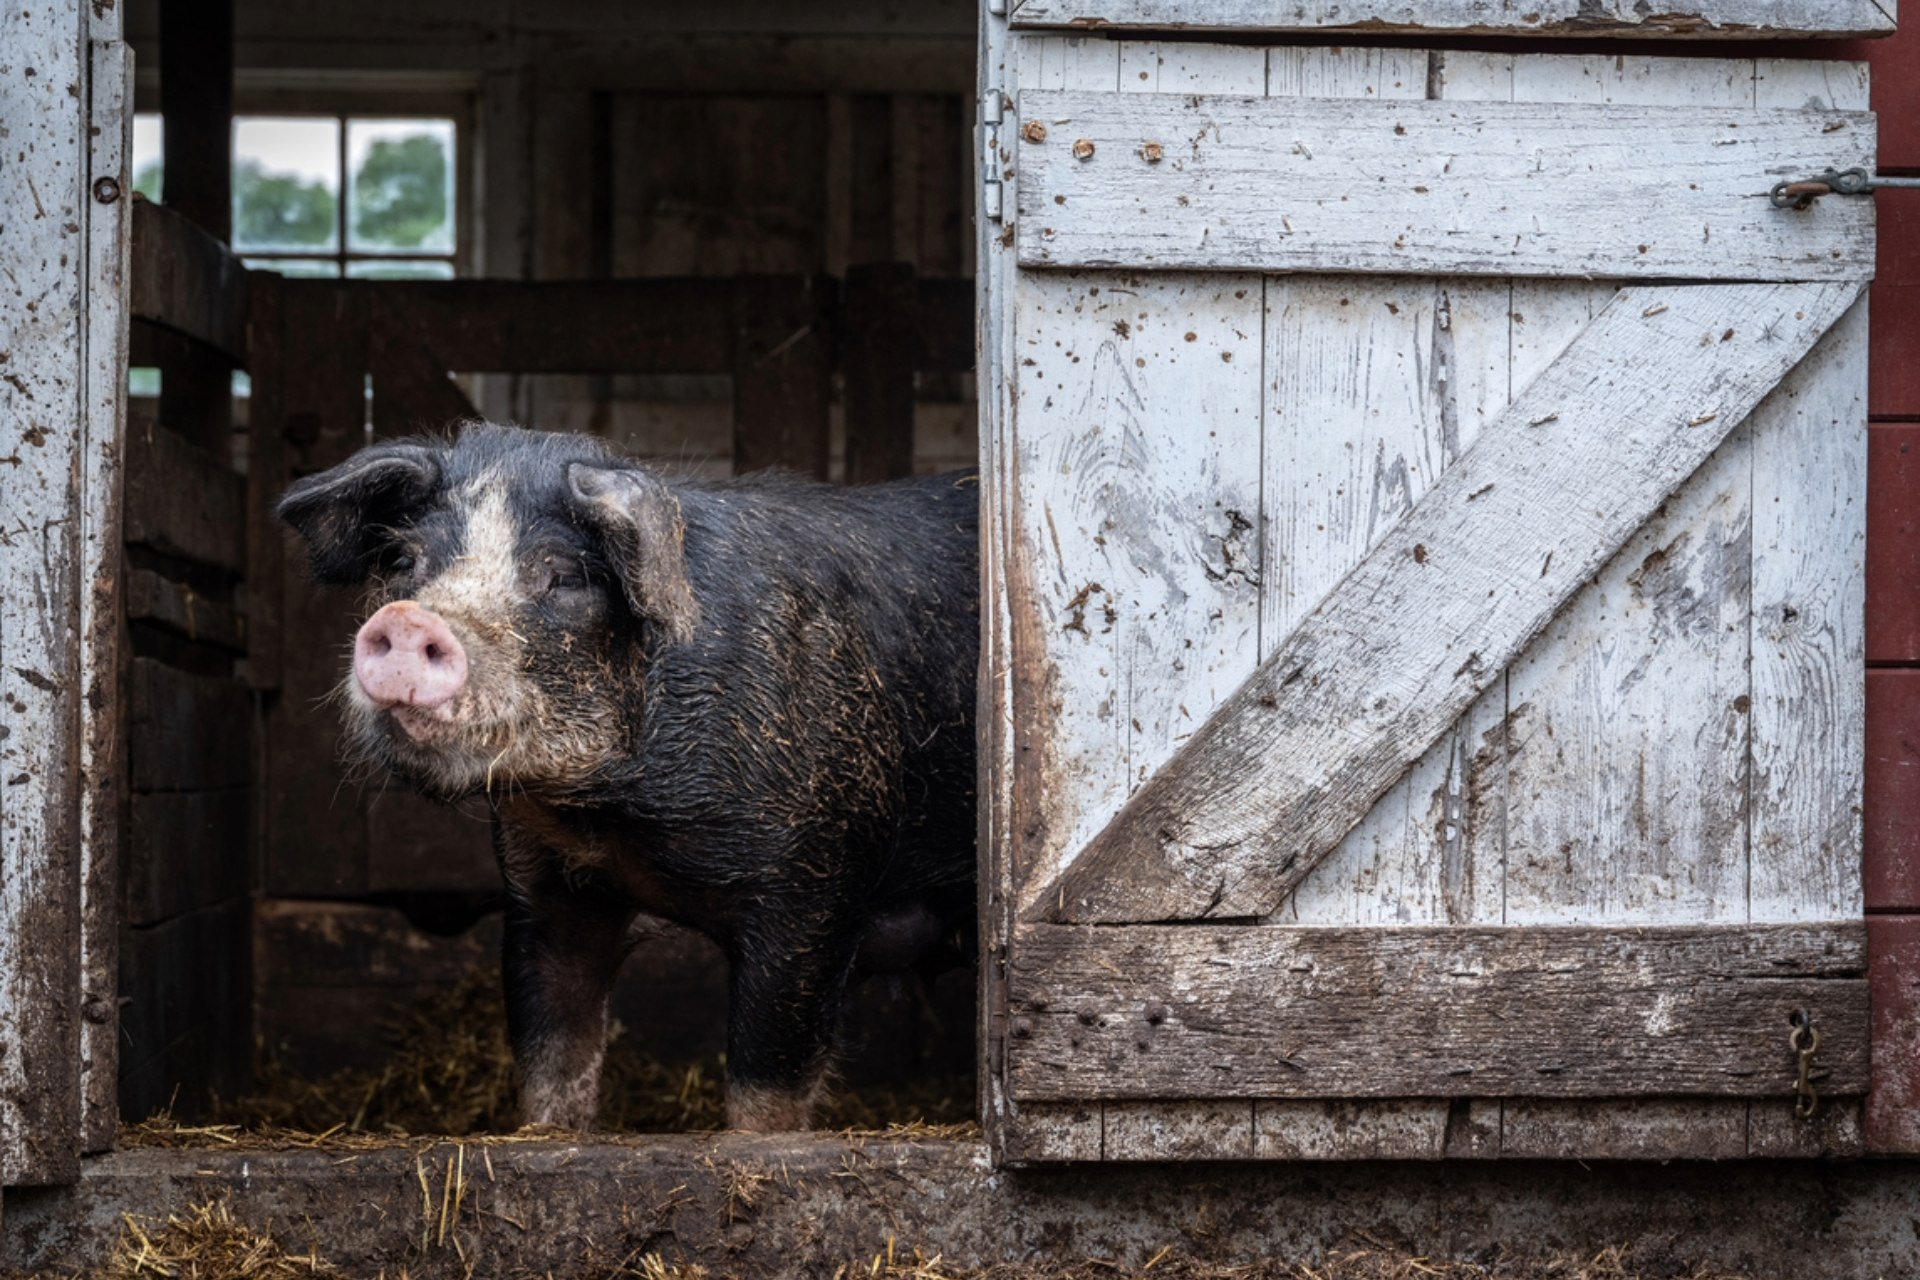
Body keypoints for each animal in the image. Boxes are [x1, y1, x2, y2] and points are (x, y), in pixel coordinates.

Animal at [278, 422, 983, 1128]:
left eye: (563, 574)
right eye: (404, 564)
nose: (408, 620)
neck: (613, 818)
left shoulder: (815, 884)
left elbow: (765, 1092)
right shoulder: (546, 894)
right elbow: (553, 1059)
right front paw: (548, 1132)